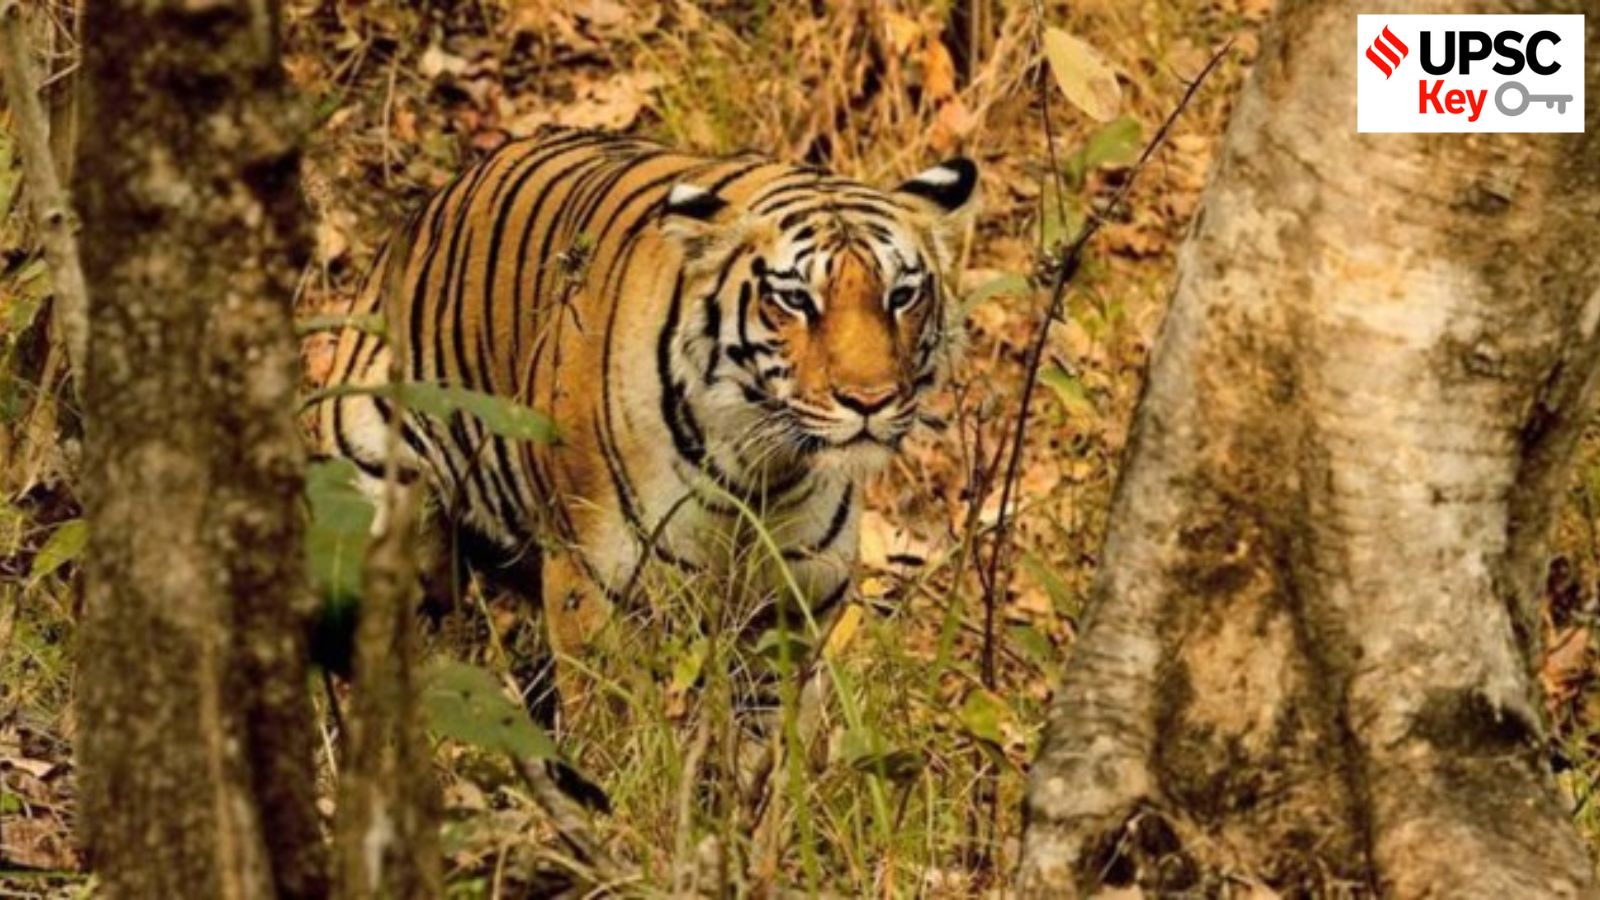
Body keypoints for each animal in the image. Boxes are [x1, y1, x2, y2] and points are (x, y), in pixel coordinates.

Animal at [316, 126, 978, 701]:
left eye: (901, 295)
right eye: (794, 299)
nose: (870, 400)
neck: (762, 472)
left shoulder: (794, 608)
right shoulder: (590, 583)